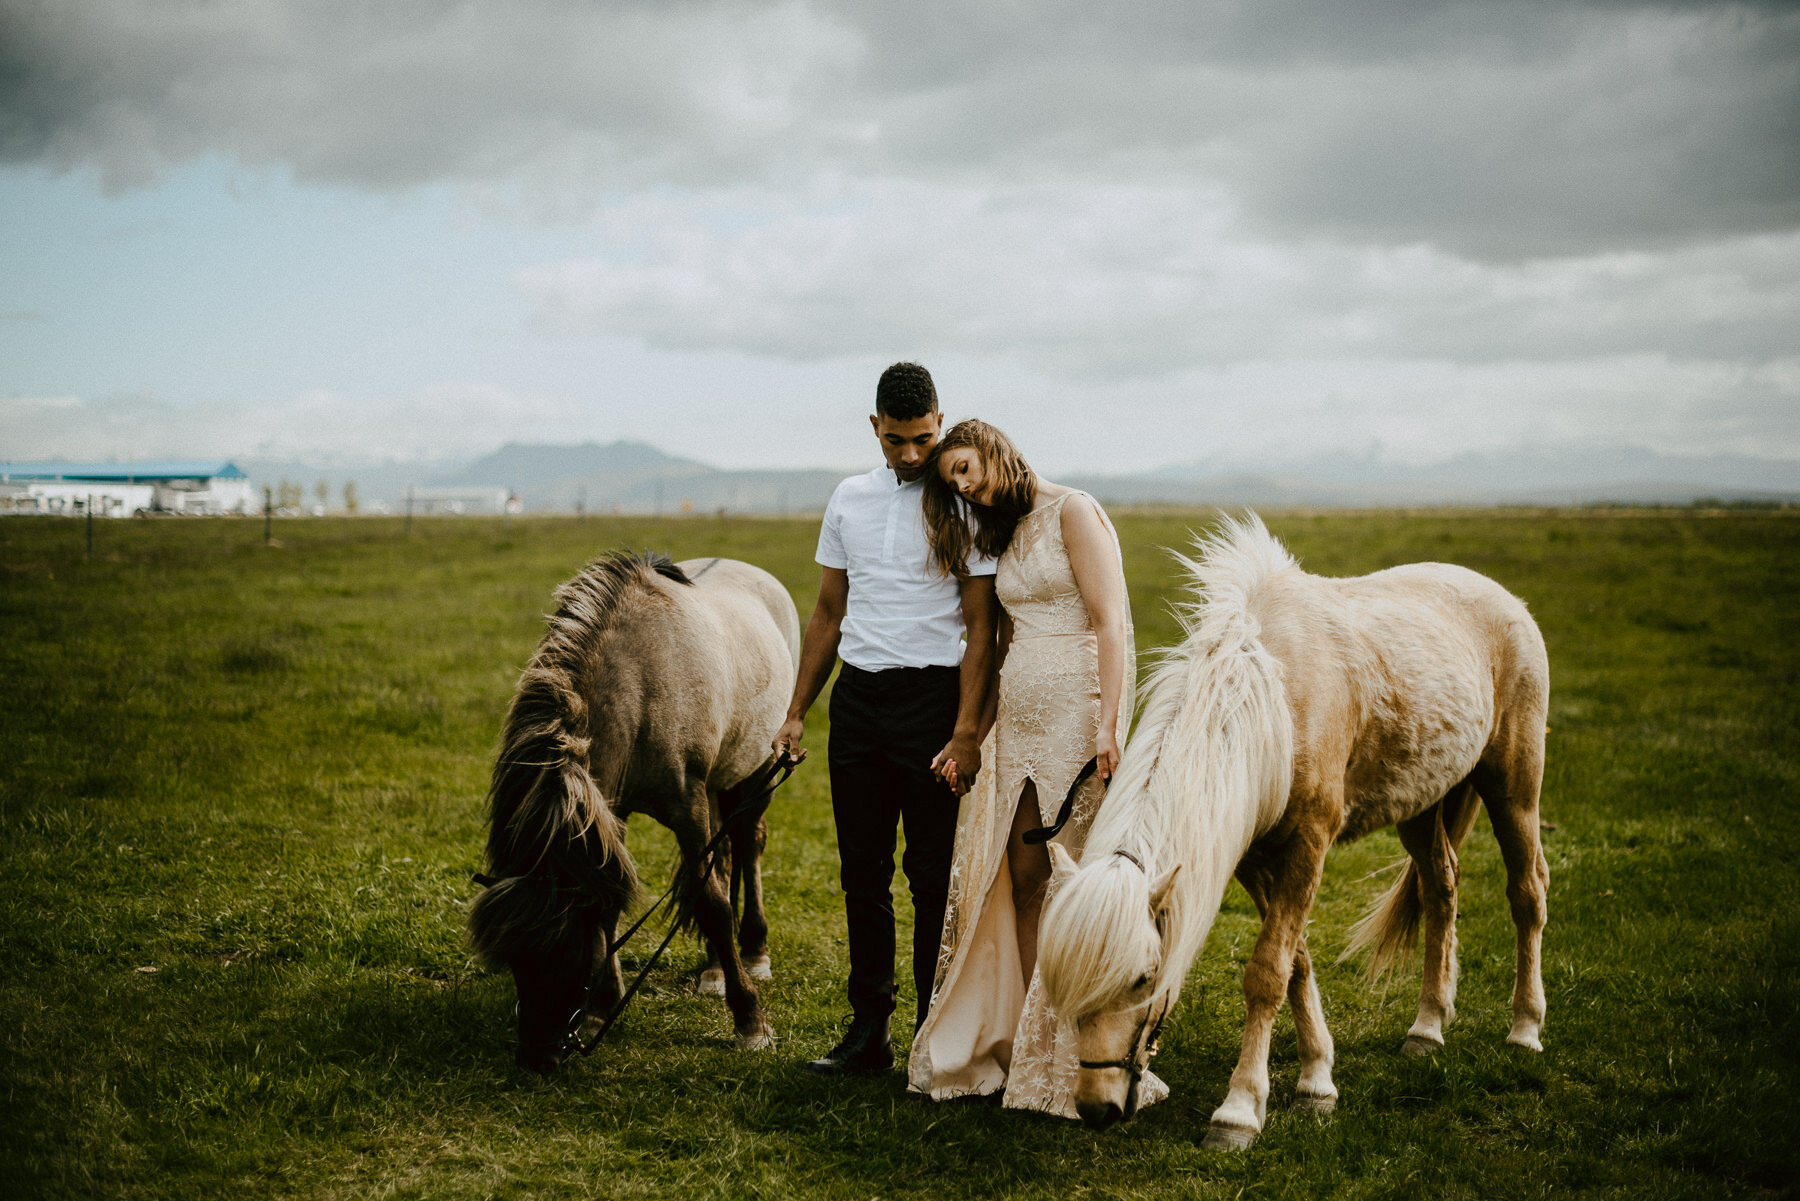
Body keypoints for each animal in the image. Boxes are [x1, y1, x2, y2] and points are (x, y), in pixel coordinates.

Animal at [468, 550, 799, 1073]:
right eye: (516, 959)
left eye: (567, 948)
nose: (537, 1055)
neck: (640, 687)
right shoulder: (610, 811)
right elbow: (616, 906)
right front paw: (601, 1008)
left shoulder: (688, 807)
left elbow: (712, 903)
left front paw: (750, 1021)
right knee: (725, 857)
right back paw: (713, 970)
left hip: (758, 770)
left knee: (747, 844)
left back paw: (754, 952)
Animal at [1044, 514, 1548, 1145]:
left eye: (1142, 980)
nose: (1096, 1109)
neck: (1273, 697)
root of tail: (1506, 600)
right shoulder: (1256, 858)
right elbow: (1295, 963)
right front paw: (1316, 1082)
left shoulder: (1310, 842)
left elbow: (1267, 973)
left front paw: (1238, 1112)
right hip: (1421, 807)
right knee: (1441, 890)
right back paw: (1427, 1028)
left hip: (1513, 787)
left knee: (1527, 892)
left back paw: (1525, 1030)